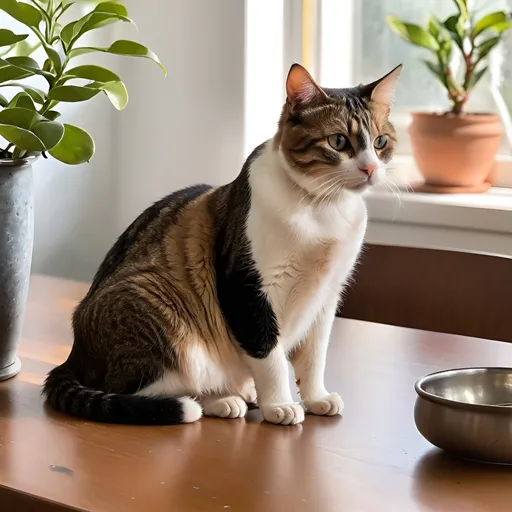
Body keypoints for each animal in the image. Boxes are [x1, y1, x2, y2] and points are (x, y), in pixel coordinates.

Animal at [44, 62, 402, 426]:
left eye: (380, 141)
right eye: (339, 141)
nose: (370, 168)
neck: (321, 209)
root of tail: (74, 353)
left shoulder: (326, 297)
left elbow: (313, 359)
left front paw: (316, 399)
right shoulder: (247, 290)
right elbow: (270, 356)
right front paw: (280, 405)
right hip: (155, 309)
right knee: (151, 388)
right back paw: (221, 400)